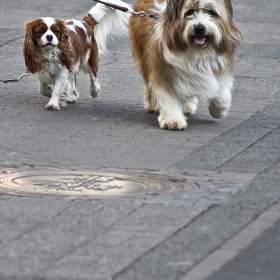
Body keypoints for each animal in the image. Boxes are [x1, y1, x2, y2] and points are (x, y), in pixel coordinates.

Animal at [129, 0, 241, 130]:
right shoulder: (163, 70)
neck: (197, 52)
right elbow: (168, 97)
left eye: (210, 12)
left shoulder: (217, 66)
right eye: (190, 12)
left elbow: (220, 90)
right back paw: (153, 105)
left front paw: (219, 110)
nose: (199, 28)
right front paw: (172, 120)